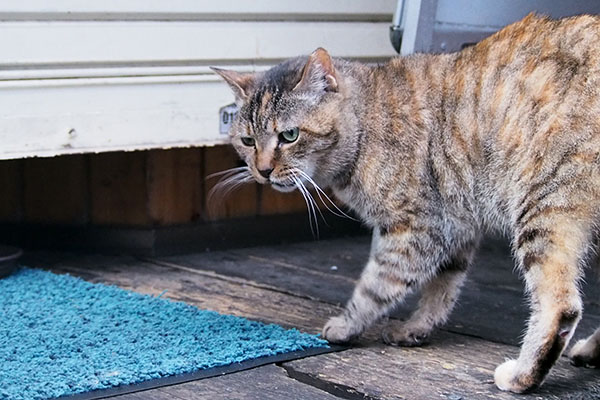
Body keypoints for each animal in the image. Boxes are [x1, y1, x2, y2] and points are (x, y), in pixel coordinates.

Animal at [213, 13, 600, 394]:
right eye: (247, 140)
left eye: (289, 135)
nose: (262, 171)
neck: (367, 123)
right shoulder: (455, 226)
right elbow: (441, 289)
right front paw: (415, 328)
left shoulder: (416, 229)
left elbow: (377, 285)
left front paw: (347, 326)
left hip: (543, 209)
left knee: (562, 306)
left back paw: (522, 376)